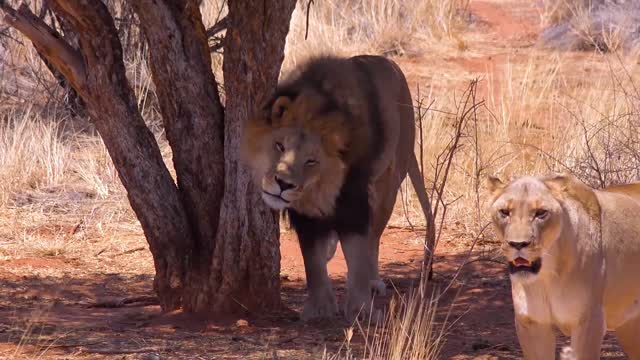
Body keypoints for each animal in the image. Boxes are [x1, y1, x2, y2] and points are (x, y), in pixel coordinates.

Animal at [241, 54, 436, 322]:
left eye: (311, 161)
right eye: (279, 145)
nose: (283, 184)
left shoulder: (353, 198)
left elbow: (357, 253)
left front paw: (361, 309)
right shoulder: (305, 214)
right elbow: (312, 259)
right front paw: (319, 308)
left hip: (389, 182)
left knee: (374, 238)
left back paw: (373, 282)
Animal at [488, 173, 636, 358]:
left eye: (541, 213)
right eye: (504, 212)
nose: (518, 244)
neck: (546, 277)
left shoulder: (589, 323)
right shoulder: (532, 324)